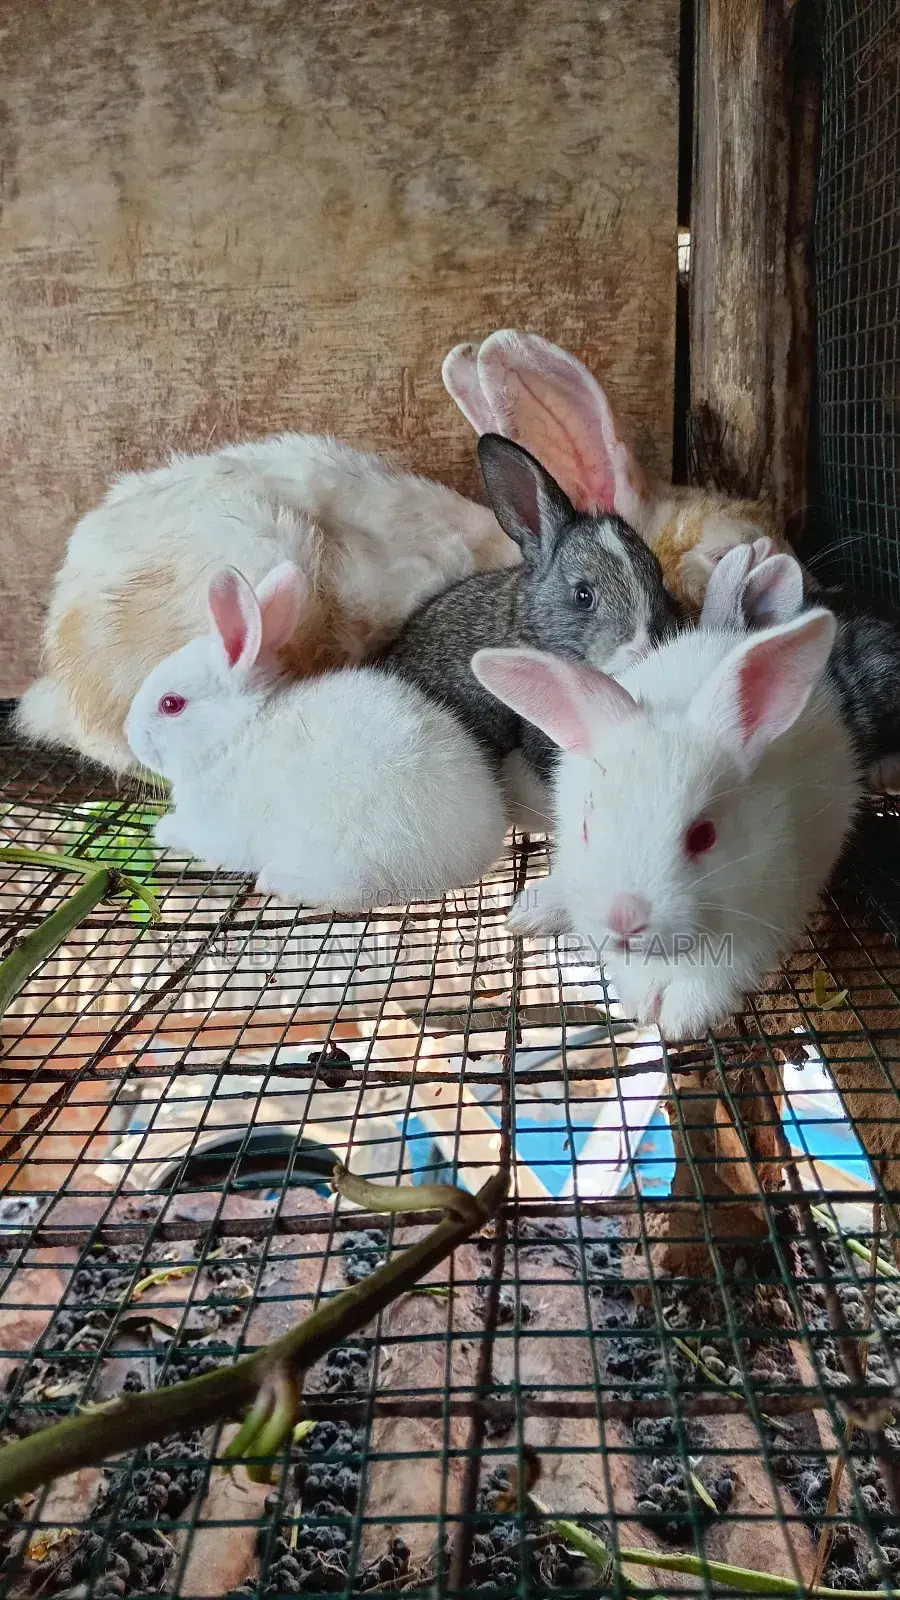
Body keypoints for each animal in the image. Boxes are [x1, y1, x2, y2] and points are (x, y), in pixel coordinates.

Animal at [124, 562, 509, 909]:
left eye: (171, 704)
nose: (129, 735)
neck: (235, 734)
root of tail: (477, 849)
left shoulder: (218, 830)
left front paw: (163, 830)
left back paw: (277, 882)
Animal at [470, 609, 862, 1043]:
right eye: (587, 829)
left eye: (704, 836)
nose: (624, 919)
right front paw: (644, 1003)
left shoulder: (765, 915)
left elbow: (718, 971)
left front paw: (682, 1017)